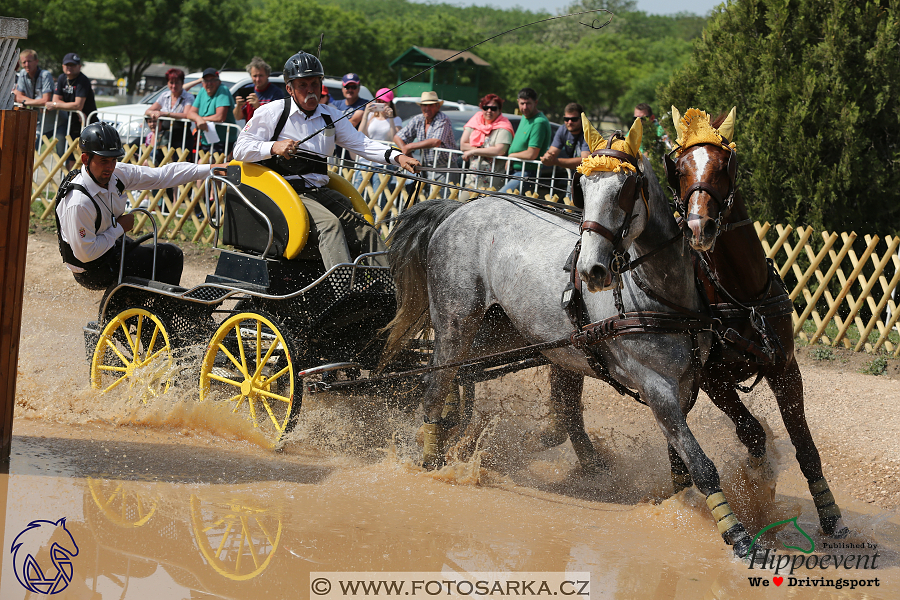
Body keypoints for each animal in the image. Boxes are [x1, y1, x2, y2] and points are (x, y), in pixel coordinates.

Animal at [384, 117, 756, 556]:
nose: (592, 269)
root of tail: (461, 207)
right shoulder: (655, 386)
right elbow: (700, 464)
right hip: (455, 322)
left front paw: (679, 505)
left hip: (504, 331)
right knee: (436, 383)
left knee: (462, 377)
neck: (660, 296)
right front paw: (738, 535)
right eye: (583, 188)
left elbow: (681, 462)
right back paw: (431, 460)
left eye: (627, 188)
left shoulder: (684, 385)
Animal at [668, 108, 852, 540]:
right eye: (679, 168)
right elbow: (751, 433)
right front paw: (756, 483)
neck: (743, 297)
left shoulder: (784, 367)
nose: (698, 227)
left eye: (724, 166)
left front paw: (830, 515)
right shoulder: (711, 379)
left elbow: (806, 447)